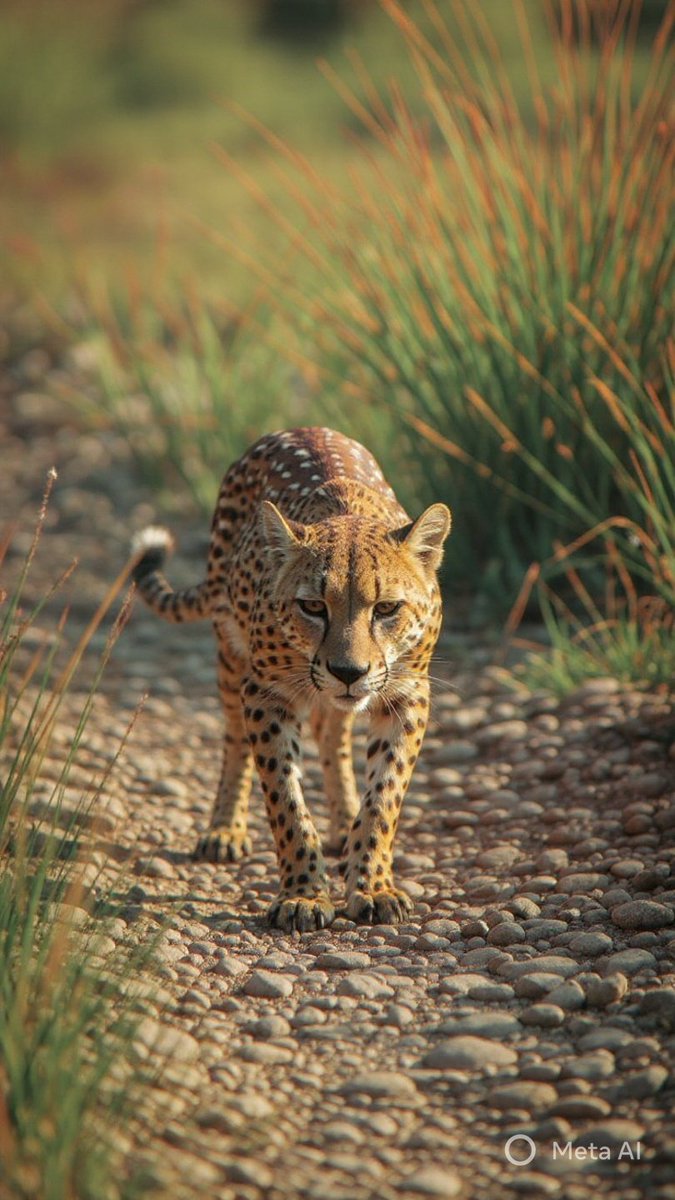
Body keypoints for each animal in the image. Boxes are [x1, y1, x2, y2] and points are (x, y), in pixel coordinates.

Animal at [131, 427, 451, 932]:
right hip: (229, 653)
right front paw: (303, 895)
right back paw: (224, 829)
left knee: (332, 732)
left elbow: (384, 797)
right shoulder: (267, 693)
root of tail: (301, 429)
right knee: (235, 739)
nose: (348, 672)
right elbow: (285, 798)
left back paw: (343, 826)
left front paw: (372, 885)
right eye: (313, 606)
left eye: (386, 609)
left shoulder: (407, 693)